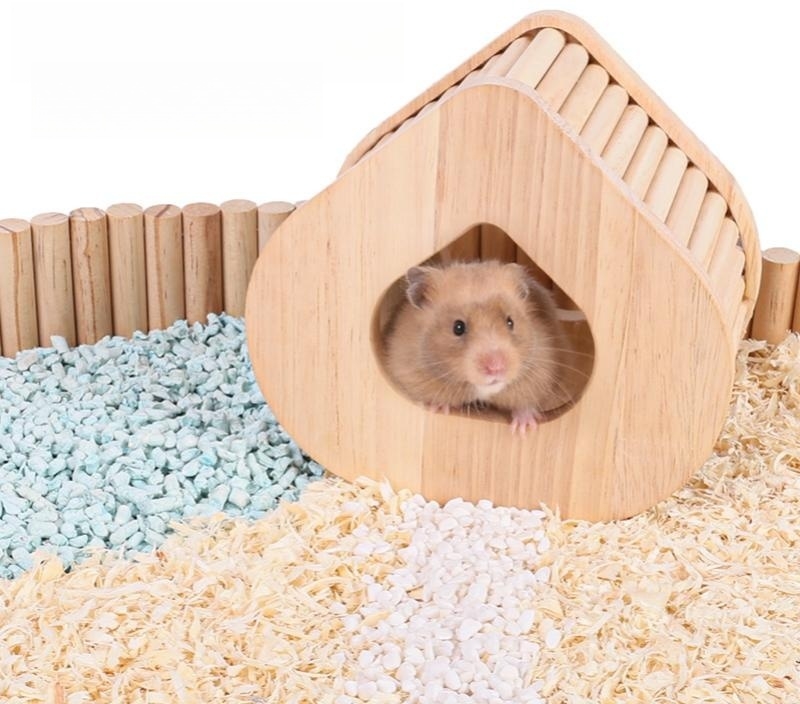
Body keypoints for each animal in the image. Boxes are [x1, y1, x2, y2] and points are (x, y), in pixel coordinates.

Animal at [384, 260, 564, 432]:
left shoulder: (541, 370)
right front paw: (438, 408)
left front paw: (524, 429)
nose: (496, 368)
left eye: (510, 322)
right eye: (458, 327)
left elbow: (526, 403)